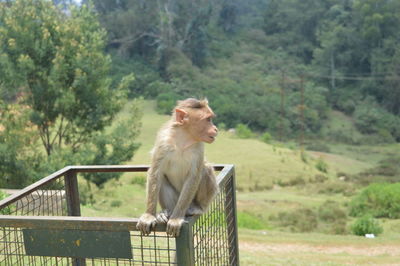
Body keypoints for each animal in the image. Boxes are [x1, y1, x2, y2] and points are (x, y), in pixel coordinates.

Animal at [137, 97, 219, 237]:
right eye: (208, 119)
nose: (215, 129)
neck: (183, 139)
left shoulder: (199, 147)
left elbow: (194, 176)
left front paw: (176, 218)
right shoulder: (163, 142)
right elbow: (156, 173)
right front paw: (149, 215)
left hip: (191, 201)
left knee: (206, 169)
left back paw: (197, 208)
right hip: (174, 200)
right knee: (162, 178)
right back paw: (166, 212)